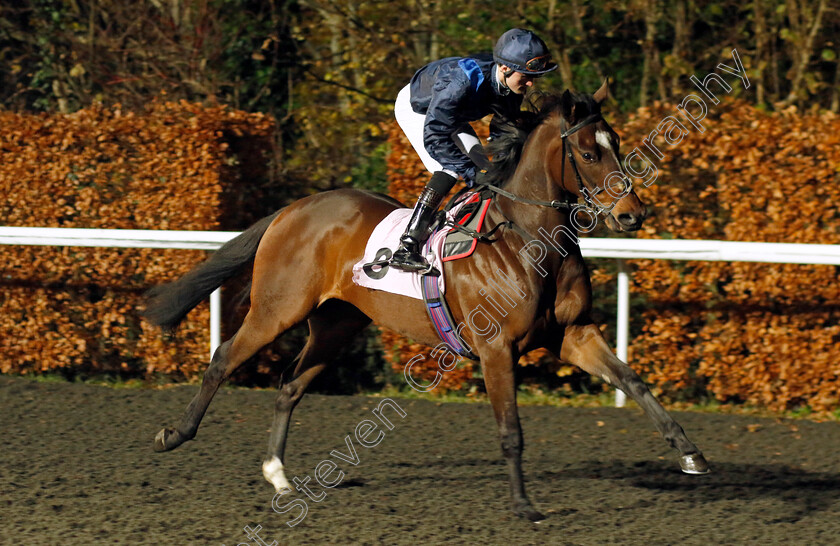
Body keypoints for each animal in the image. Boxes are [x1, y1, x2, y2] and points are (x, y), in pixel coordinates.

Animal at [144, 81, 708, 520]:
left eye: (618, 143)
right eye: (589, 154)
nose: (633, 214)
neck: (529, 239)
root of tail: (294, 209)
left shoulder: (572, 335)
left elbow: (633, 380)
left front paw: (690, 453)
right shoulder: (496, 348)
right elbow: (511, 429)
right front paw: (523, 505)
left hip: (337, 323)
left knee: (289, 386)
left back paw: (279, 475)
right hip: (278, 309)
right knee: (223, 359)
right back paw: (174, 435)